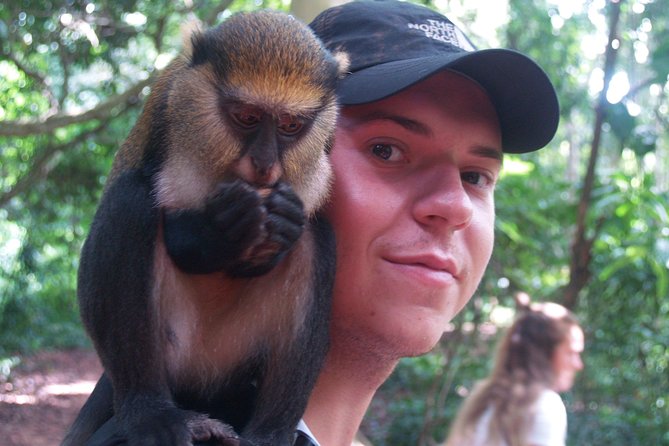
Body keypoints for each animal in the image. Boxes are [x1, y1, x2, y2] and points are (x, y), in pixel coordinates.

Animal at [62, 10, 347, 446]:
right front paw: (221, 231)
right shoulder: (170, 107)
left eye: (289, 125)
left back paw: (270, 434)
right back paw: (150, 414)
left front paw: (281, 226)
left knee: (318, 239)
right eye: (247, 118)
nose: (264, 163)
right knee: (129, 202)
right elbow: (179, 238)